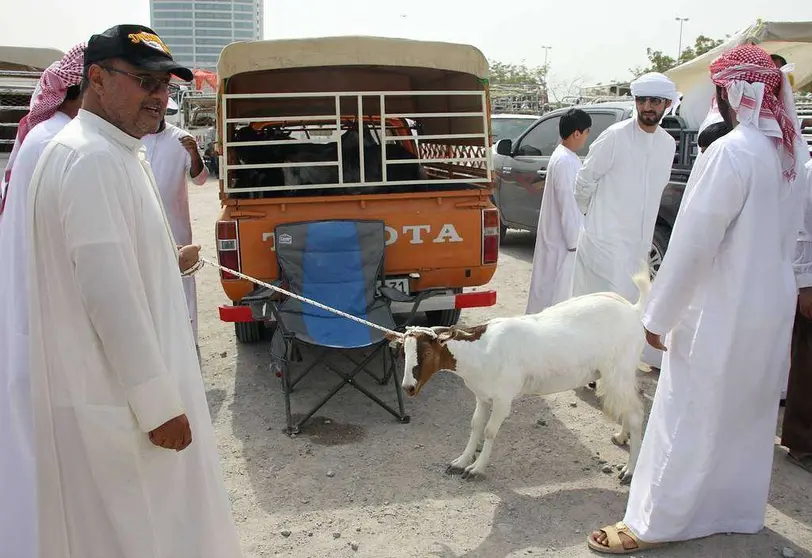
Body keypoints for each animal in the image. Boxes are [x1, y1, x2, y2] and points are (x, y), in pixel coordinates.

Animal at [390, 266, 652, 486]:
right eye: (403, 351)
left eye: (425, 352)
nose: (408, 387)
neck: (481, 350)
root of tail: (633, 310)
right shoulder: (482, 396)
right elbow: (475, 425)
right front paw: (461, 461)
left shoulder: (503, 399)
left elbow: (489, 431)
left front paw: (476, 468)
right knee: (628, 407)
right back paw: (622, 436)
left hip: (619, 371)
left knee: (636, 413)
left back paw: (629, 470)